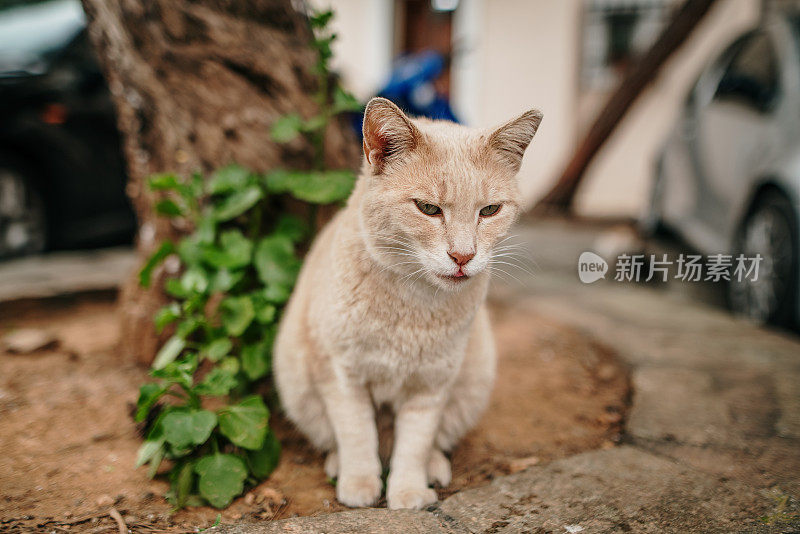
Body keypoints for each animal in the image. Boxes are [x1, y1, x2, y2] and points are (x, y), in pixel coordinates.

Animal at [272, 96, 540, 510]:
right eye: (428, 209)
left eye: (489, 211)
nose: (463, 256)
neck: (413, 303)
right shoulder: (341, 376)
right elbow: (357, 435)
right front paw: (360, 486)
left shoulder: (431, 387)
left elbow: (414, 444)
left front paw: (408, 493)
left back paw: (434, 468)